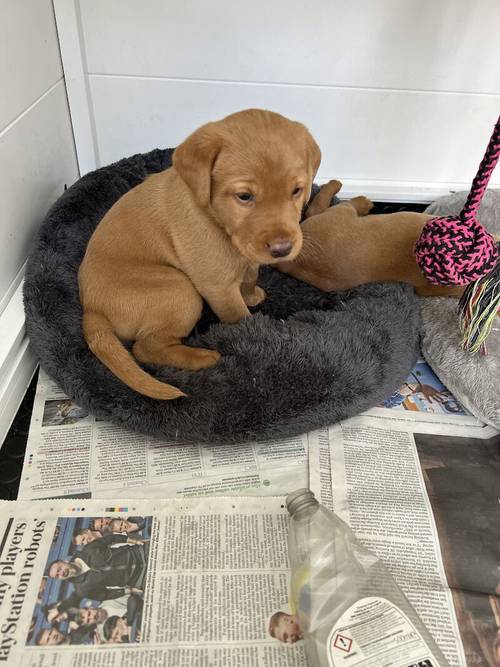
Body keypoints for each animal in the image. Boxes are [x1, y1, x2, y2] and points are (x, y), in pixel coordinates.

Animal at [78, 111, 320, 402]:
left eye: (296, 190)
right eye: (244, 196)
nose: (282, 249)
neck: (217, 220)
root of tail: (91, 309)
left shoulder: (245, 256)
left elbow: (250, 275)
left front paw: (252, 295)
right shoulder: (218, 286)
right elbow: (239, 315)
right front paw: (256, 332)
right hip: (180, 290)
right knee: (145, 348)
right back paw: (202, 358)